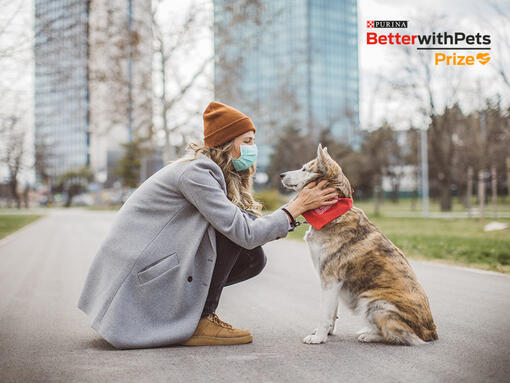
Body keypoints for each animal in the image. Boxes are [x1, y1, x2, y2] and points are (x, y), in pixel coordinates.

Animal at [280, 142, 436, 346]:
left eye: (305, 169)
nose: (281, 175)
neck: (332, 211)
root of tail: (431, 333)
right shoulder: (333, 284)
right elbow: (332, 313)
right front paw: (327, 333)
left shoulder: (330, 279)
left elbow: (324, 314)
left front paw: (319, 337)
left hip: (373, 302)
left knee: (400, 336)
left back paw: (369, 335)